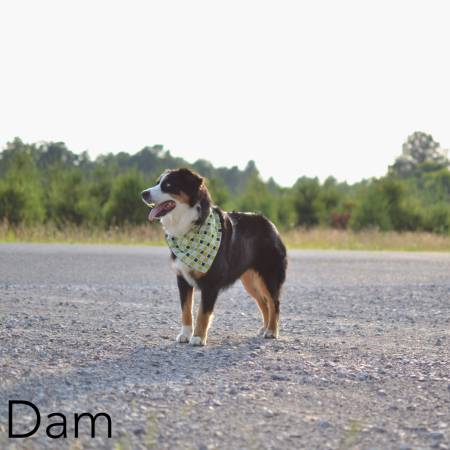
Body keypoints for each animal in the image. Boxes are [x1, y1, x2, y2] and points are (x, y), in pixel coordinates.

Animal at [142, 167, 288, 346]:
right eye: (157, 183)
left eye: (168, 185)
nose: (143, 193)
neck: (189, 228)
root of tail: (269, 223)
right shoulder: (182, 278)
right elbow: (186, 310)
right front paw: (185, 334)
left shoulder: (211, 282)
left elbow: (202, 313)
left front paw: (198, 337)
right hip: (250, 280)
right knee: (263, 302)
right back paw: (264, 328)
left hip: (269, 276)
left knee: (274, 302)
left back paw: (272, 331)